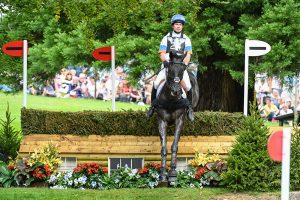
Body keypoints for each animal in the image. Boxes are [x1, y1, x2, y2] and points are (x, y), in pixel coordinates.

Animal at [155, 50, 199, 184]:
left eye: (182, 70)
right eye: (169, 70)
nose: (176, 91)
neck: (171, 99)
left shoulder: (179, 120)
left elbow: (174, 146)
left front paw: (173, 173)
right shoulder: (162, 121)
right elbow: (164, 148)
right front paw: (162, 174)